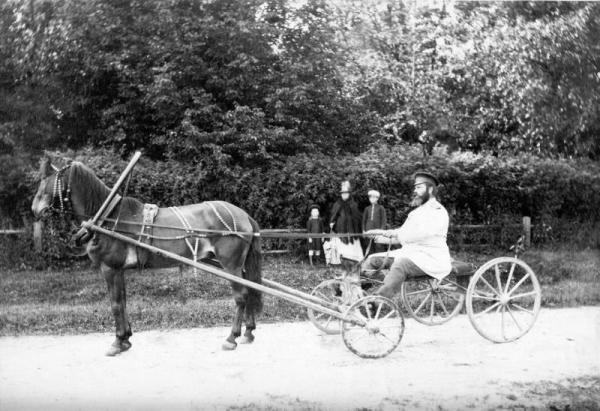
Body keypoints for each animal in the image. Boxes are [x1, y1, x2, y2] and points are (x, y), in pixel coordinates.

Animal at [29, 158, 260, 358]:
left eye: (45, 182)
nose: (34, 209)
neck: (108, 218)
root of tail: (243, 215)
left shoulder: (109, 268)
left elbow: (115, 304)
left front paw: (117, 342)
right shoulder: (119, 269)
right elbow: (122, 301)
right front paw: (125, 339)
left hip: (231, 264)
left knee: (241, 296)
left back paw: (232, 337)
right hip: (240, 266)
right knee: (250, 290)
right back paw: (248, 332)